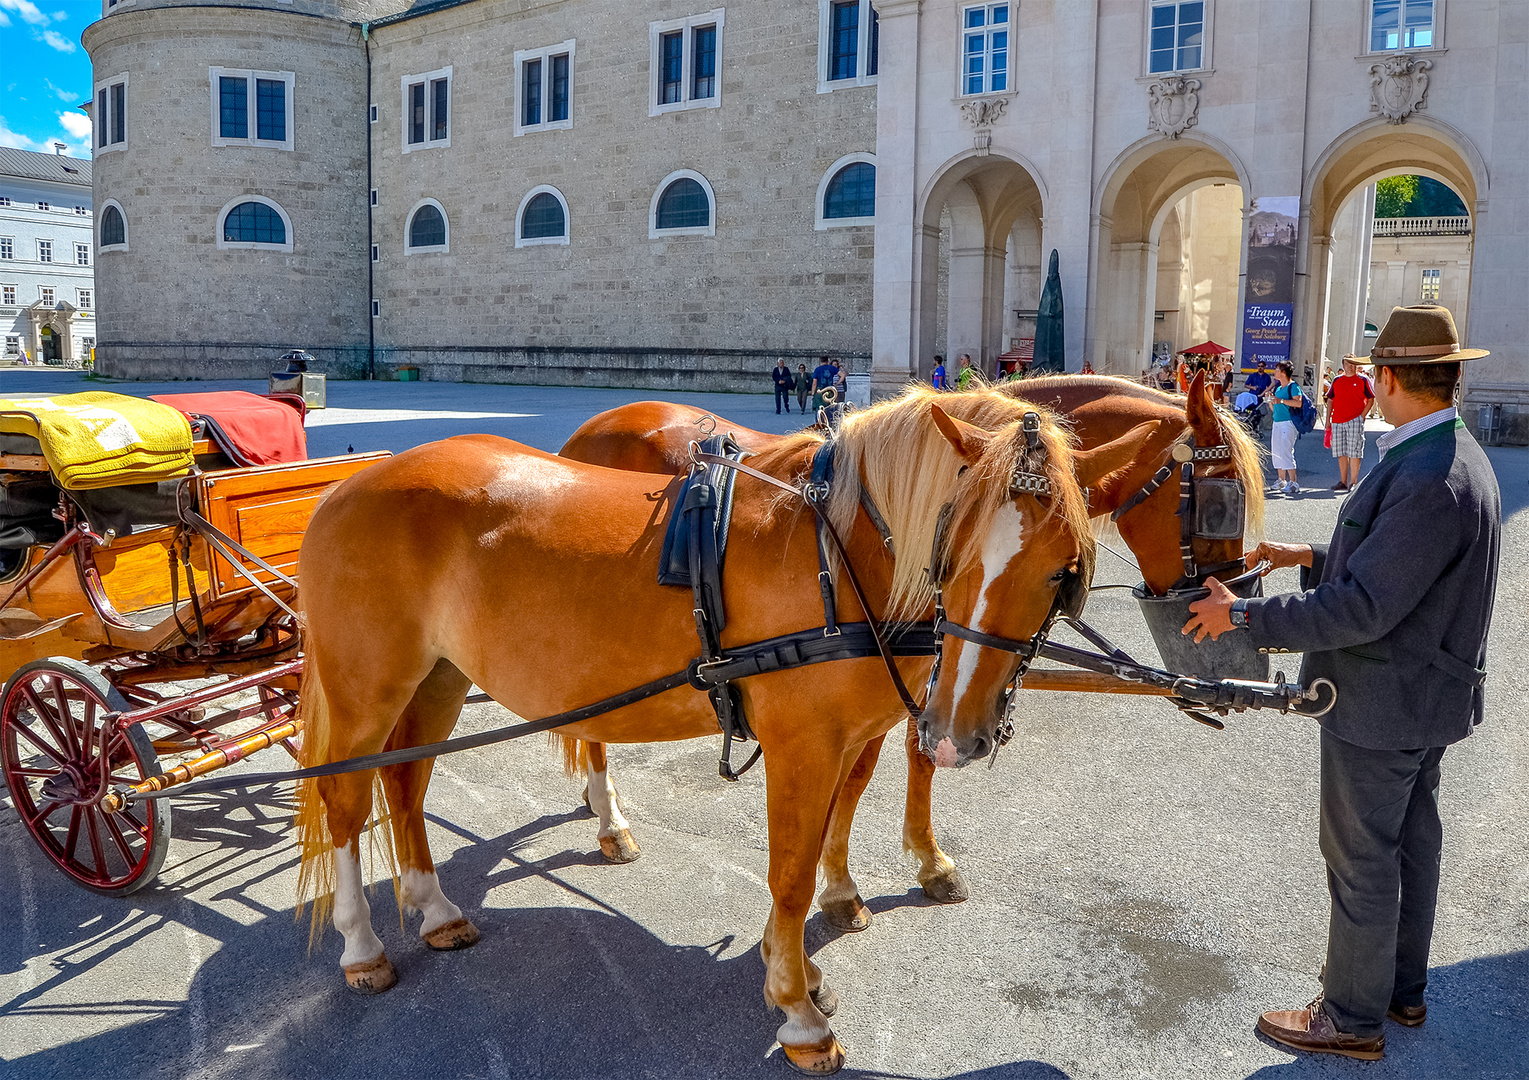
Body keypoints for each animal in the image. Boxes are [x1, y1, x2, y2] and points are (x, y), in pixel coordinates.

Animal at [292, 385, 1143, 1070]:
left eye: (1063, 567)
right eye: (952, 548)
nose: (958, 731)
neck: (839, 555)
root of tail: (348, 485)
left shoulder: (846, 738)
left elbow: (830, 829)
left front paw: (799, 959)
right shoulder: (803, 745)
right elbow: (791, 872)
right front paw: (797, 1007)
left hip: (439, 676)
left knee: (404, 783)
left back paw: (436, 908)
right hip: (366, 688)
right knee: (345, 804)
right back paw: (362, 946)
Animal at [556, 370, 1259, 923]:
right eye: (1221, 502)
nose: (1228, 607)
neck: (866, 532)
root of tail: (589, 428)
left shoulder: (909, 682)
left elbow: (874, 772)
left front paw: (868, 874)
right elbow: (891, 765)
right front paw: (900, 867)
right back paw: (610, 816)